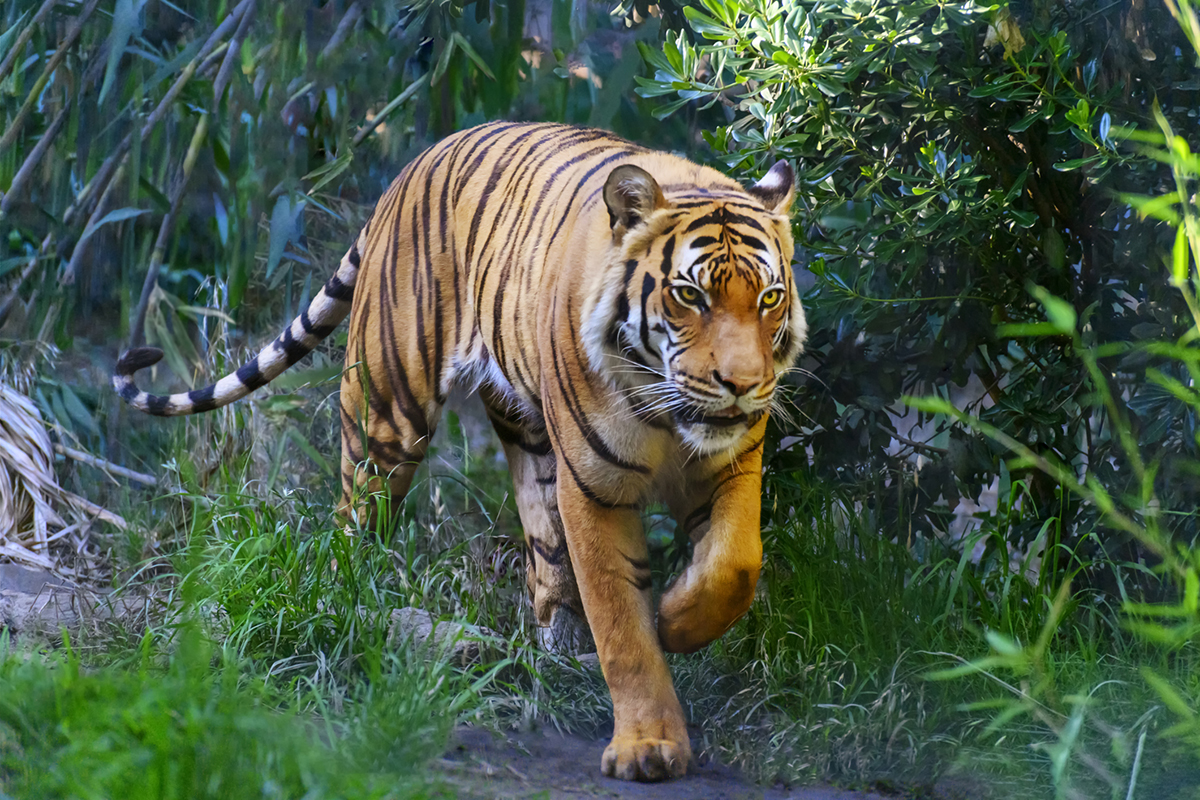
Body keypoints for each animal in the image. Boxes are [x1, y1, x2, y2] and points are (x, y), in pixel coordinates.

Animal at [112, 122, 806, 786]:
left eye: (769, 298)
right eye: (691, 296)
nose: (743, 384)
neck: (670, 416)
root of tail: (416, 163)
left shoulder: (732, 463)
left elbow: (734, 565)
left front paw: (677, 619)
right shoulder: (596, 487)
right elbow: (623, 629)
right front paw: (648, 746)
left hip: (527, 433)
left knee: (543, 544)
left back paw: (561, 644)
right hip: (386, 414)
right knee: (353, 520)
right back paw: (340, 604)